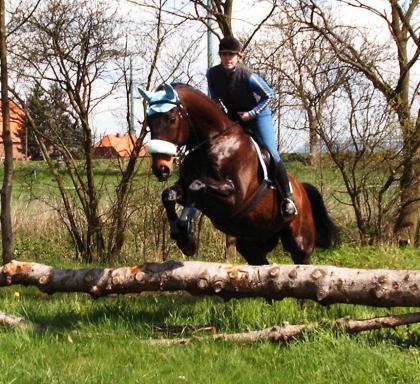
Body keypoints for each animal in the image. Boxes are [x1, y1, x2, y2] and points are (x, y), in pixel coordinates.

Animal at [139, 82, 340, 266]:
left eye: (172, 119)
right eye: (149, 122)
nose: (161, 169)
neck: (213, 143)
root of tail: (302, 189)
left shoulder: (235, 197)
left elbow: (197, 185)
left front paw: (186, 235)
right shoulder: (186, 188)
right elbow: (168, 194)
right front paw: (183, 237)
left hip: (300, 242)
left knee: (302, 259)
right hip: (252, 243)